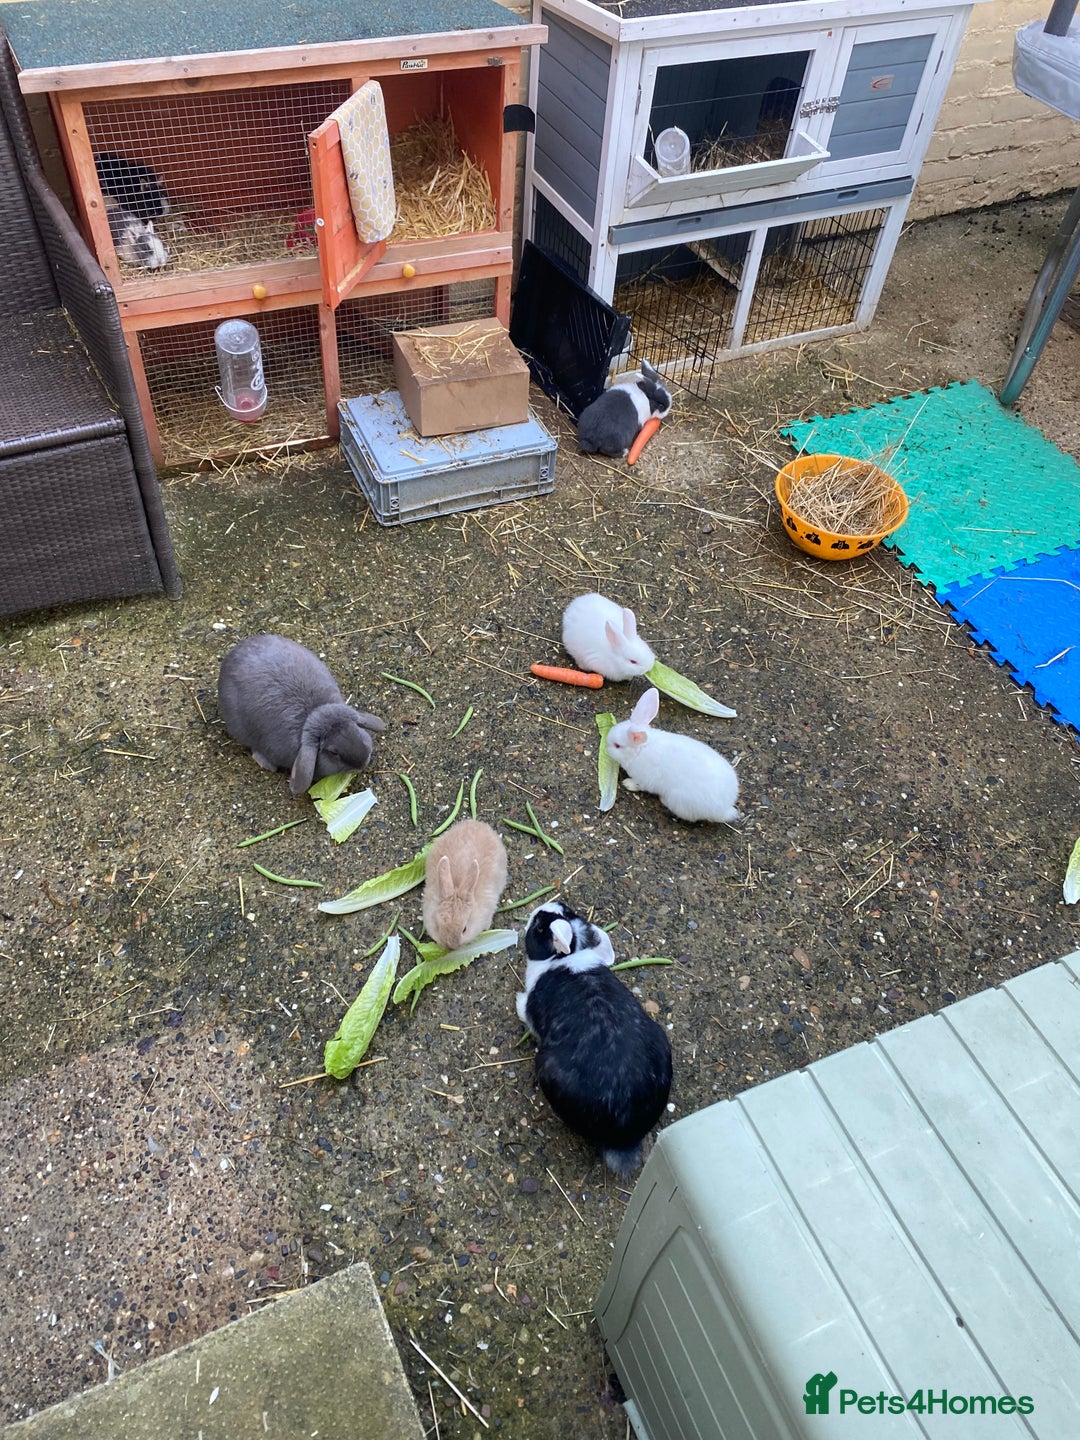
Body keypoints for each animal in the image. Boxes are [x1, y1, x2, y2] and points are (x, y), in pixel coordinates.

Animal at [606, 687, 741, 824]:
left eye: (617, 745)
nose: (606, 747)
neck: (640, 750)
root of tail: (725, 809)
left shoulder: (644, 779)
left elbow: (638, 785)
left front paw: (627, 784)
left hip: (679, 801)